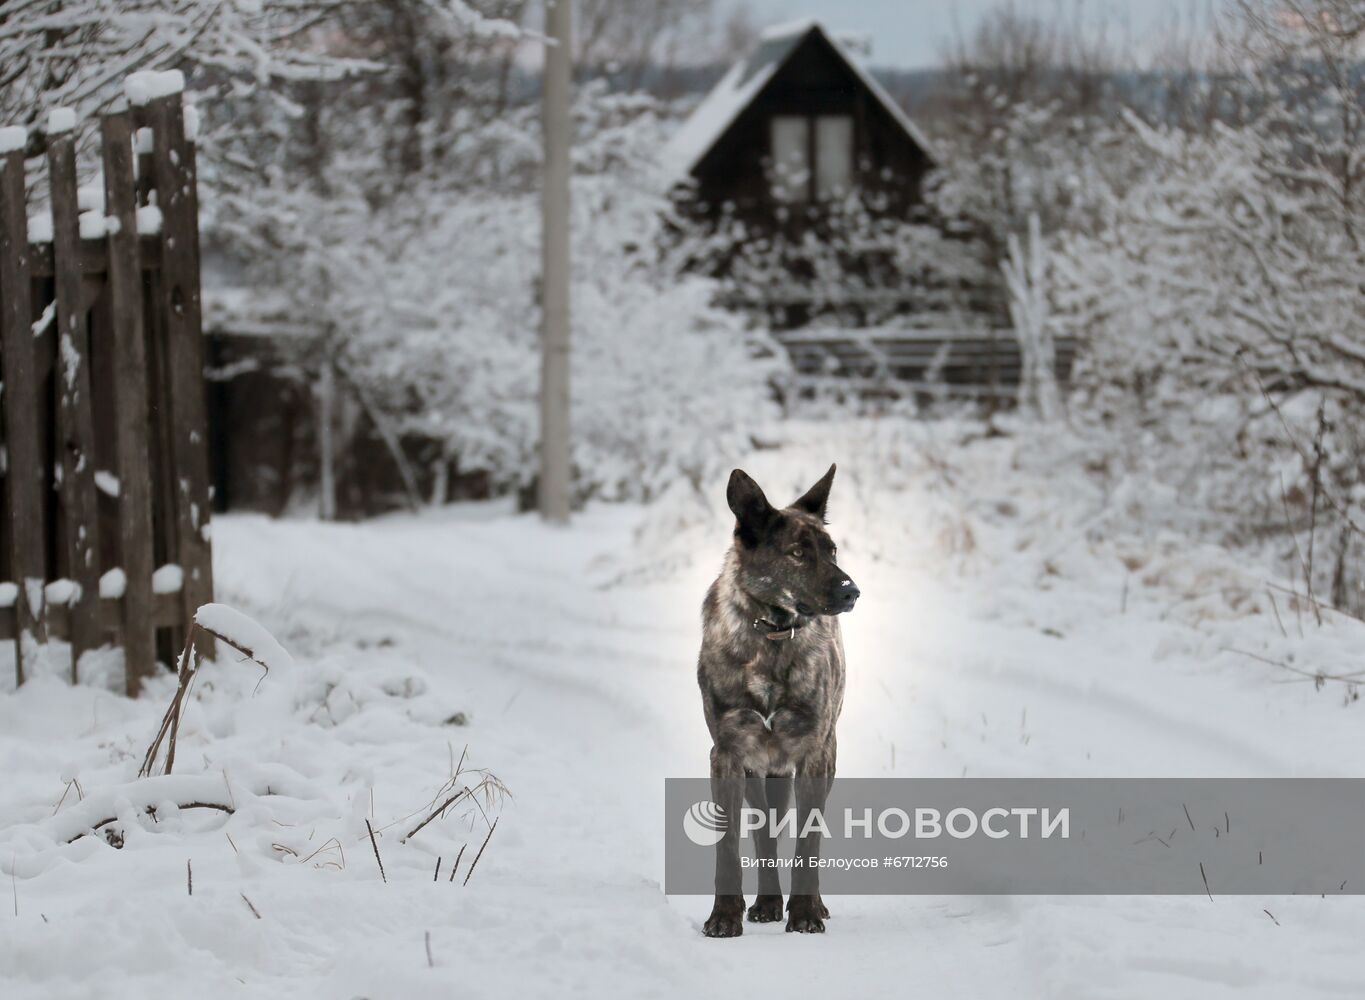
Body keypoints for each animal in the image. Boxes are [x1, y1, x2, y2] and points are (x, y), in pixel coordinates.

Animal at [698, 463, 857, 933]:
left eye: (832, 551)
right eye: (798, 553)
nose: (851, 591)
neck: (771, 635)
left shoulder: (813, 755)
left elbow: (808, 842)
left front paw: (805, 911)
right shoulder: (729, 755)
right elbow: (730, 845)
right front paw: (724, 916)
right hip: (758, 771)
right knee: (764, 834)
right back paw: (767, 901)